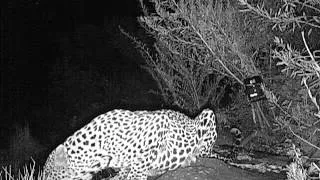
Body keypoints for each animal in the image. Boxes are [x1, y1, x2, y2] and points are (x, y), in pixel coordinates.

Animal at [43, 107, 218, 179]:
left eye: (49, 177)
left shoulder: (160, 121)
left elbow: (139, 165)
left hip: (208, 114)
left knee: (204, 151)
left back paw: (190, 158)